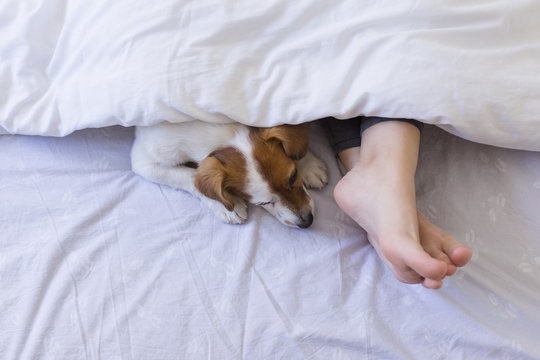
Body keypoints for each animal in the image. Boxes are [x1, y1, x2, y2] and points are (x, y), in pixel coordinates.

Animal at [130, 121, 330, 228]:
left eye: (294, 176)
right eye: (263, 203)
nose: (306, 222)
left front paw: (308, 164)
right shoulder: (144, 161)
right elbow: (189, 177)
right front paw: (227, 205)